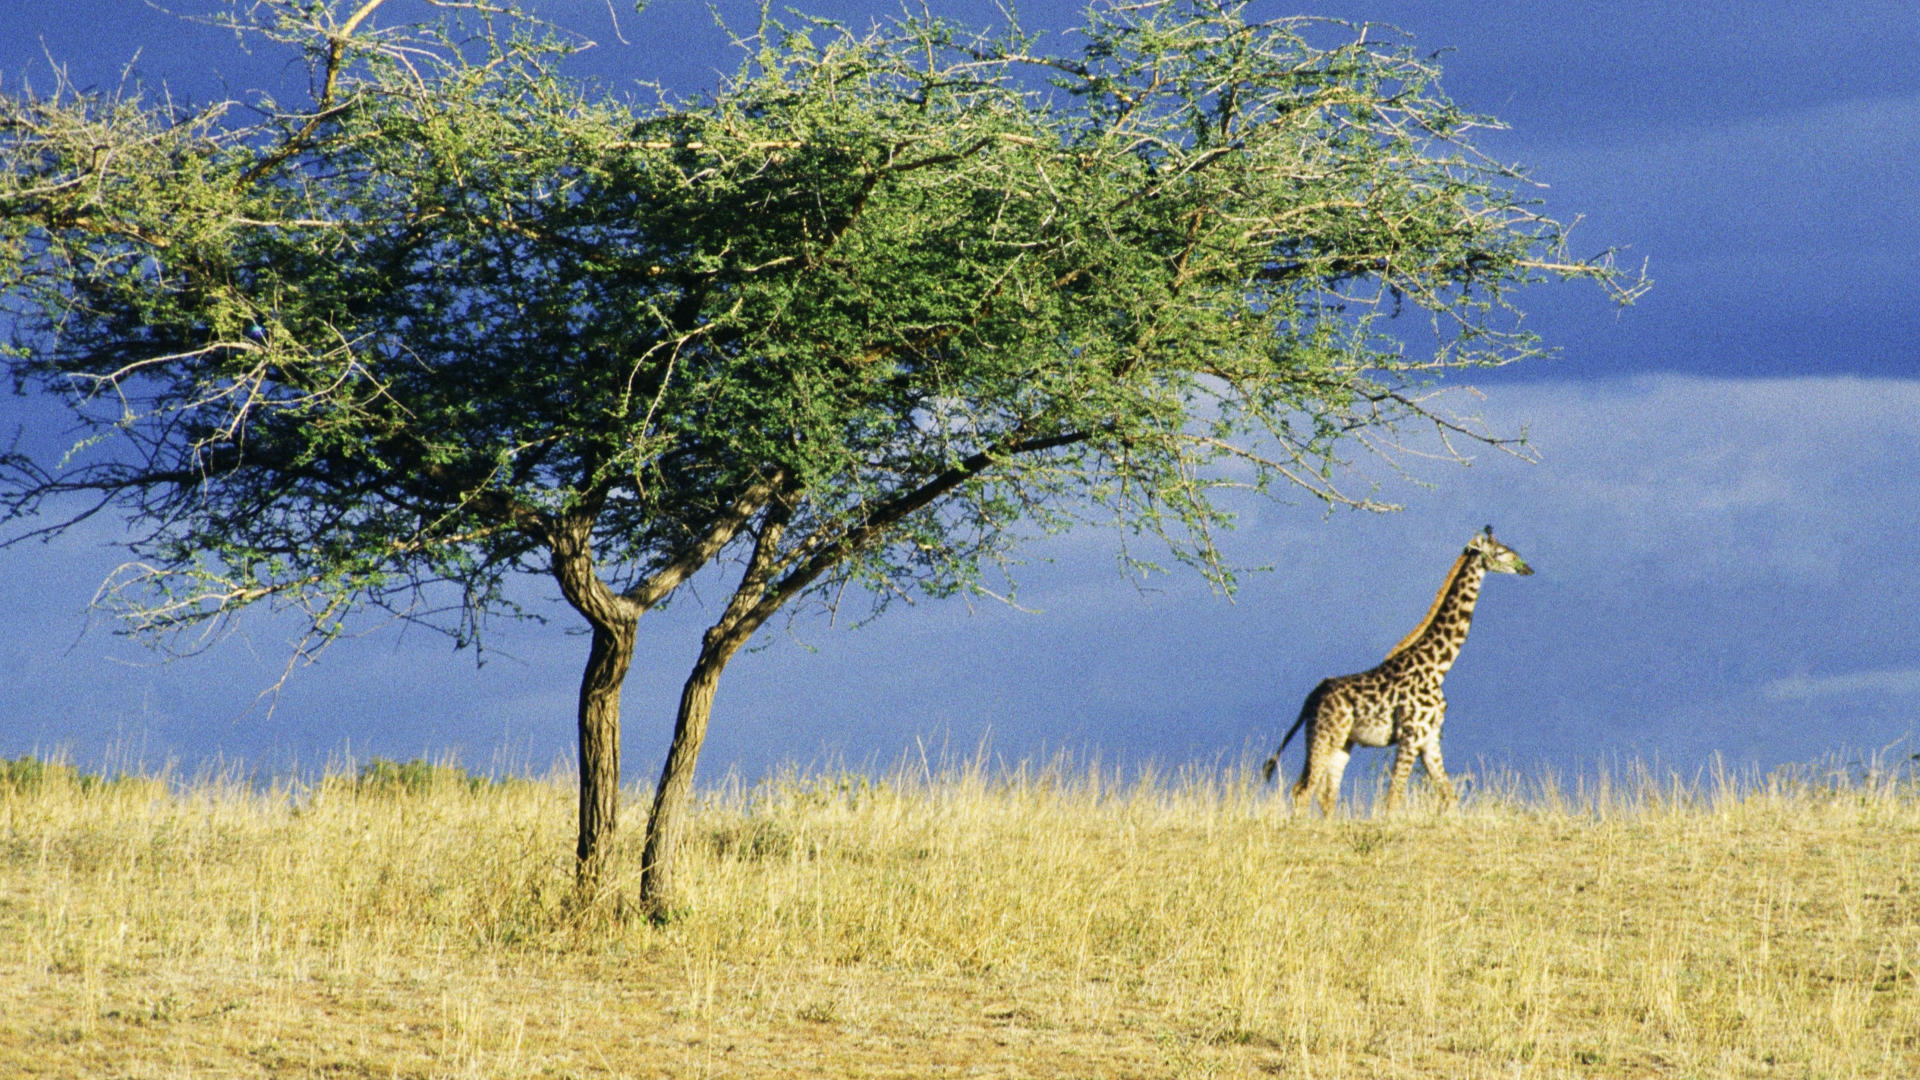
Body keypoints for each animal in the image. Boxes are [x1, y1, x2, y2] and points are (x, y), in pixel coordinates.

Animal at [1259, 526, 1528, 810]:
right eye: (1501, 552)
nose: (1527, 568)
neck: (1439, 667)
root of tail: (1311, 698)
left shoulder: (1429, 737)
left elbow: (1448, 795)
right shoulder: (1411, 735)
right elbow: (1394, 797)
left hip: (1342, 741)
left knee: (1323, 793)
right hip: (1326, 735)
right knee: (1303, 790)